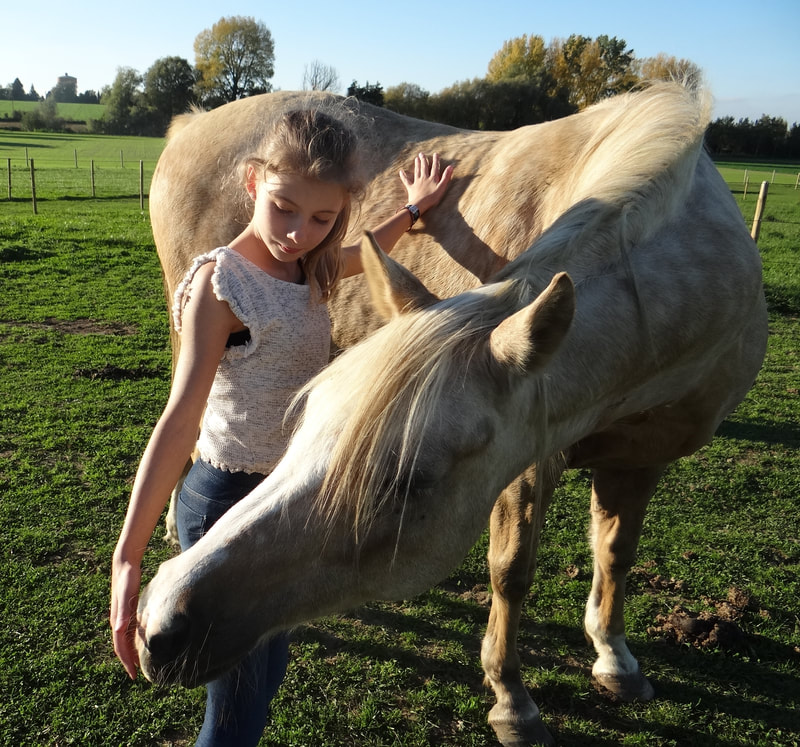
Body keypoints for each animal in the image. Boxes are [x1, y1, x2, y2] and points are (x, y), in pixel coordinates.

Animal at [136, 83, 767, 746]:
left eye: (408, 482)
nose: (160, 621)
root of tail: (191, 125)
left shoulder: (642, 457)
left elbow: (617, 554)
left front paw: (616, 660)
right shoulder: (526, 465)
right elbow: (511, 572)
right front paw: (513, 700)